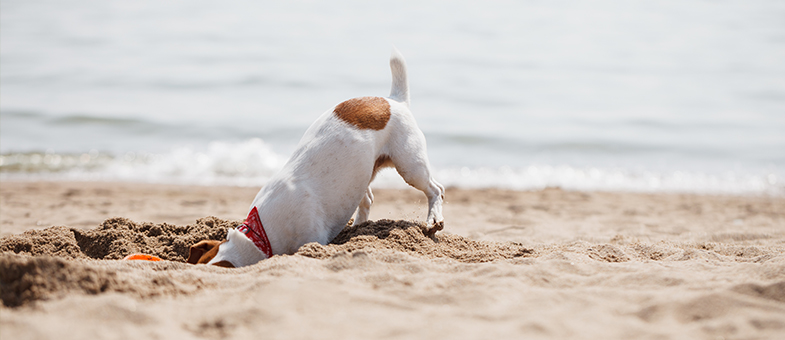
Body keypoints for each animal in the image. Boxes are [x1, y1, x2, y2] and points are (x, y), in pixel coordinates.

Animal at [186, 49, 444, 268]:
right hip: (362, 175)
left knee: (436, 189)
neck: (260, 234)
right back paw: (358, 227)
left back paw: (433, 218)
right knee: (367, 198)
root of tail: (393, 100)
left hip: (410, 165)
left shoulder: (312, 237)